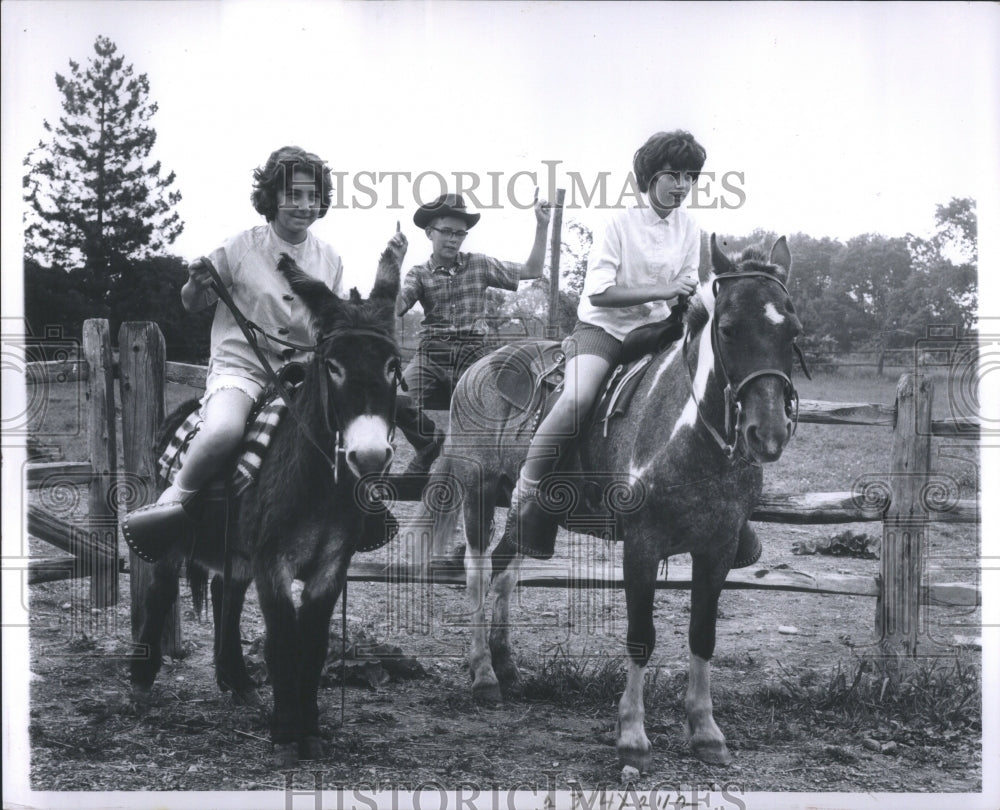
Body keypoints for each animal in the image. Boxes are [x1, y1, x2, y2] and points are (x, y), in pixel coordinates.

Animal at [130, 248, 402, 764]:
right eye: (333, 366)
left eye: (394, 366)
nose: (370, 456)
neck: (318, 484)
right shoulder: (272, 562)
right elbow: (281, 644)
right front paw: (285, 733)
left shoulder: (330, 566)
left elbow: (313, 645)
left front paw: (310, 730)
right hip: (178, 538)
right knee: (161, 590)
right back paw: (141, 678)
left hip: (238, 548)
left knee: (227, 594)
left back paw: (235, 680)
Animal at [406, 234, 804, 772]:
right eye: (727, 329)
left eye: (793, 331)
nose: (768, 433)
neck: (690, 434)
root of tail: (477, 368)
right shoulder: (642, 545)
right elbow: (641, 635)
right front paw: (632, 735)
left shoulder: (717, 549)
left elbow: (702, 635)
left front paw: (706, 732)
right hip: (479, 491)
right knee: (478, 572)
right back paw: (483, 674)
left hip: (522, 512)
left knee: (506, 571)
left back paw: (506, 664)